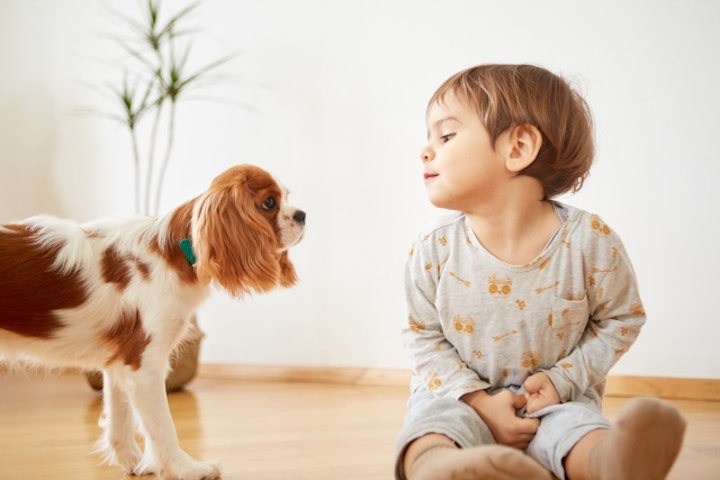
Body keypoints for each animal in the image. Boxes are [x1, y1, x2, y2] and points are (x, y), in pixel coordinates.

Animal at [0, 163, 304, 478]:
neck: (175, 252)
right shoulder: (144, 364)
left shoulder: (118, 362)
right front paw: (187, 468)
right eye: (269, 203)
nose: (302, 215)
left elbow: (120, 420)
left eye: (288, 197)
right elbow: (163, 427)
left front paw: (134, 463)